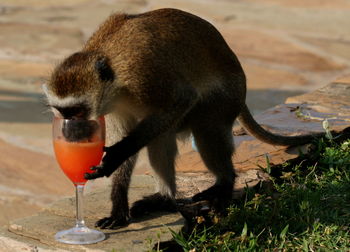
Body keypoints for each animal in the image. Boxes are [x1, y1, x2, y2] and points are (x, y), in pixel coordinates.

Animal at [43, 8, 322, 228]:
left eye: (77, 112)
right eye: (63, 114)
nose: (70, 132)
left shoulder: (142, 75)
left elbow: (181, 99)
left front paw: (115, 155)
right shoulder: (112, 109)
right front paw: (118, 208)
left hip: (225, 99)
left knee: (207, 129)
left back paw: (224, 184)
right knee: (161, 138)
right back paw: (165, 199)